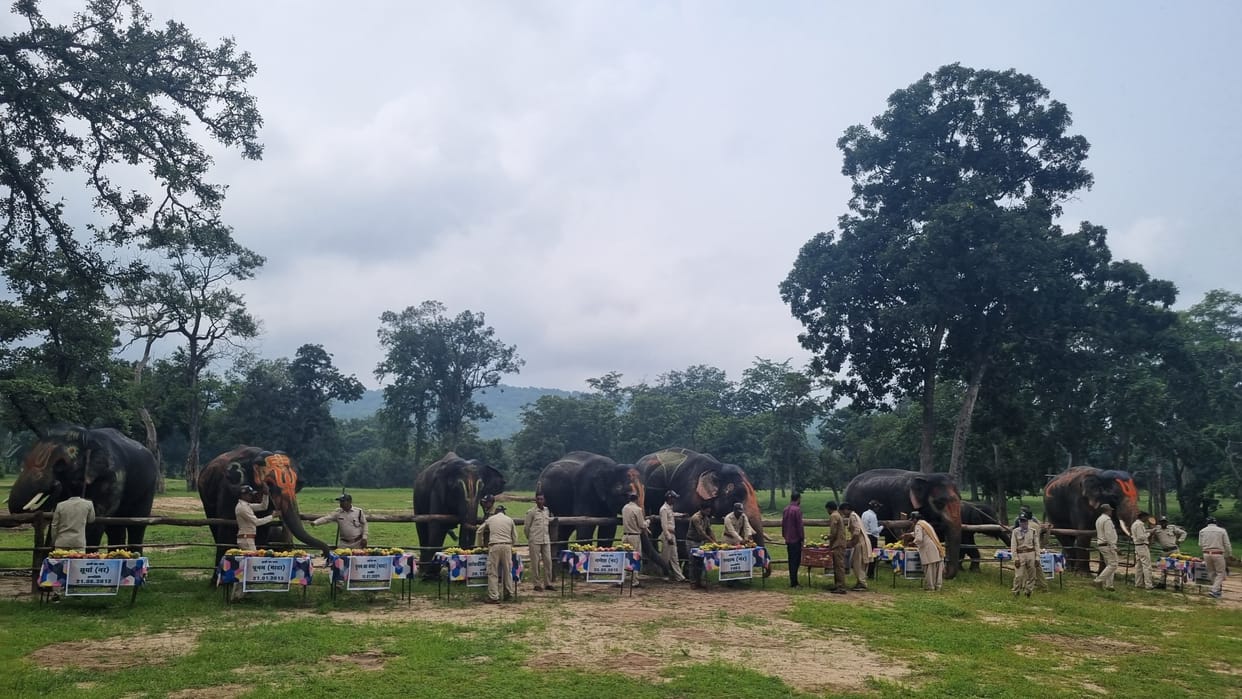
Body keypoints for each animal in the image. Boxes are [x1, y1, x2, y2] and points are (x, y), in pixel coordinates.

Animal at [7, 426, 158, 552]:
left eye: (60, 465)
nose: (55, 484)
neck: (87, 437)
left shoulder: (113, 476)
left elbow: (96, 517)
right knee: (115, 527)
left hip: (148, 488)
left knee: (136, 526)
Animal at [198, 447, 332, 575]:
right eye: (269, 483)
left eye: (297, 484)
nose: (324, 555)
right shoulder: (228, 488)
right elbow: (226, 526)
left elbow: (262, 526)